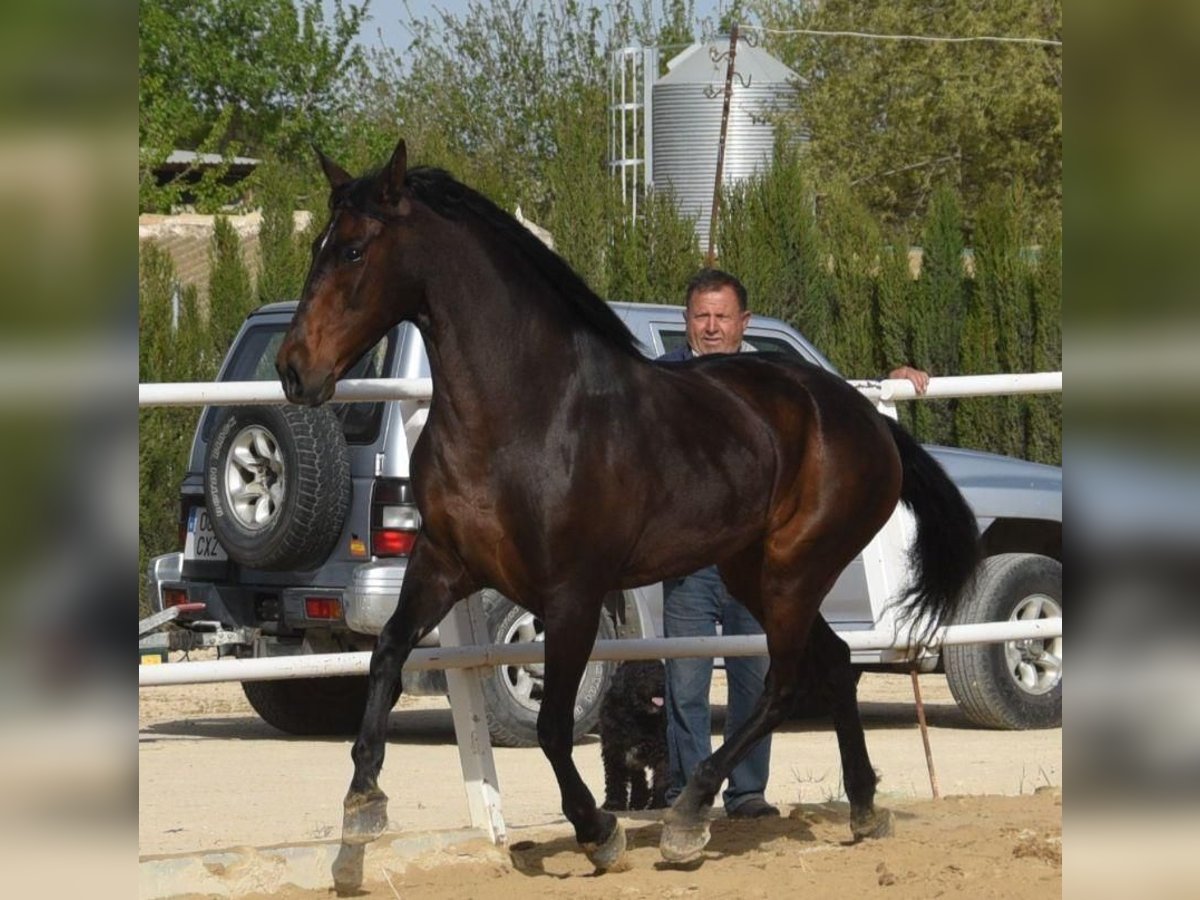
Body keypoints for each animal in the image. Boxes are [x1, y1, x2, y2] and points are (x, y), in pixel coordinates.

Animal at [604, 657, 672, 816]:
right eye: (642, 673)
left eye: (662, 671)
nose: (661, 684)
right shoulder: (614, 752)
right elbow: (615, 779)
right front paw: (614, 804)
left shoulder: (662, 753)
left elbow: (661, 779)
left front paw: (658, 803)